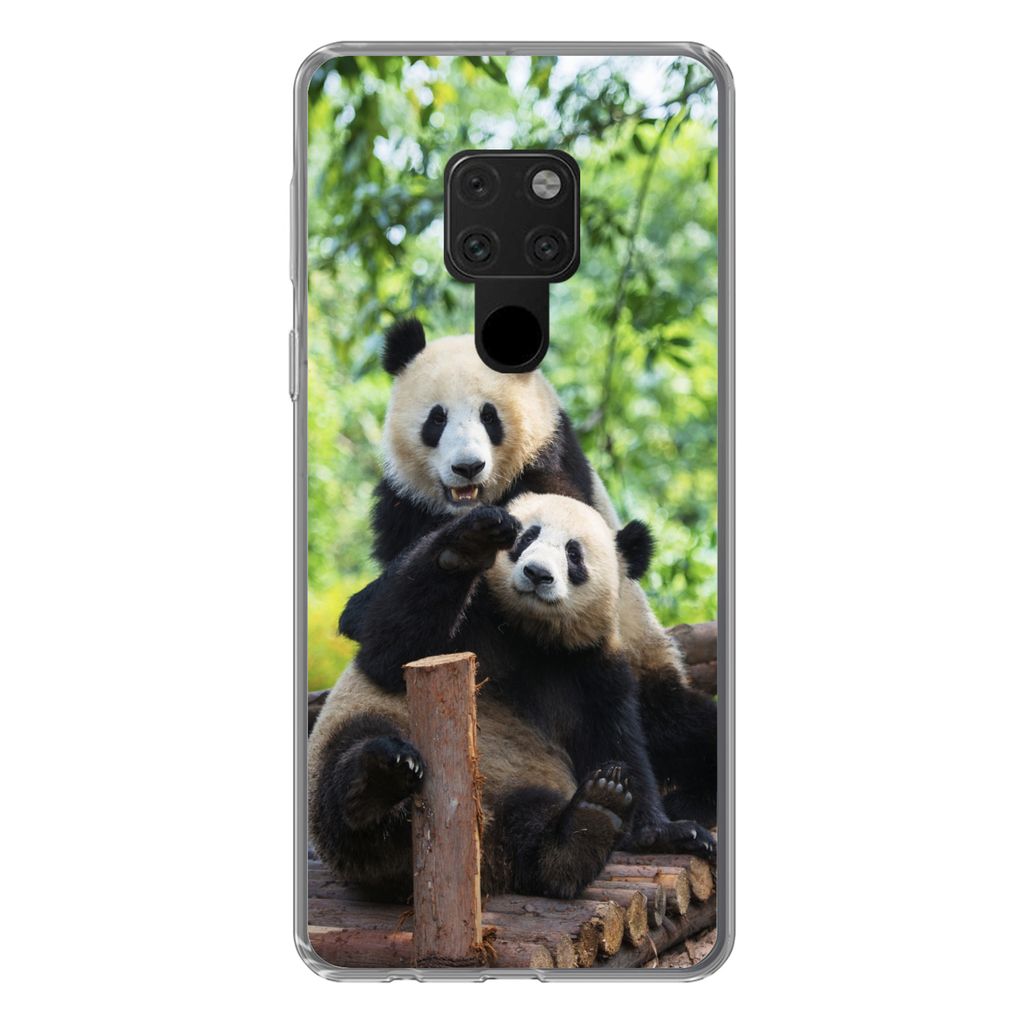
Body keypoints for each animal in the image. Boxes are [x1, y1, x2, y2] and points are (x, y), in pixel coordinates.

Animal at [308, 494, 716, 900]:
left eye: (573, 554)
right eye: (526, 537)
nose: (536, 573)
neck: (528, 633)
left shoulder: (591, 667)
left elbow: (616, 740)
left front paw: (663, 830)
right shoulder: (471, 621)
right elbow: (390, 650)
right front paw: (469, 544)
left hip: (522, 787)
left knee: (530, 828)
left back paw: (586, 826)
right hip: (366, 731)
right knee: (350, 763)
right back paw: (380, 779)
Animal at [340, 318, 717, 826]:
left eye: (489, 417)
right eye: (437, 419)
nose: (468, 467)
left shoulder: (553, 469)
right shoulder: (404, 504)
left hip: (647, 666)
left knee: (687, 728)